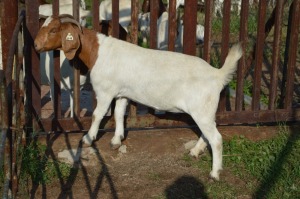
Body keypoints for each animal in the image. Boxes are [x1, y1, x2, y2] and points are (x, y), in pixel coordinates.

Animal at [34, 14, 243, 181]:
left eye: (53, 30)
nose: (35, 45)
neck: (98, 52)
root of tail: (217, 74)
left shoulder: (105, 91)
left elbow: (97, 114)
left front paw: (88, 138)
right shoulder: (122, 93)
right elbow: (118, 114)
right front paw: (116, 140)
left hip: (201, 109)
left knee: (216, 138)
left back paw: (214, 173)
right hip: (205, 111)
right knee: (207, 133)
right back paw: (195, 151)